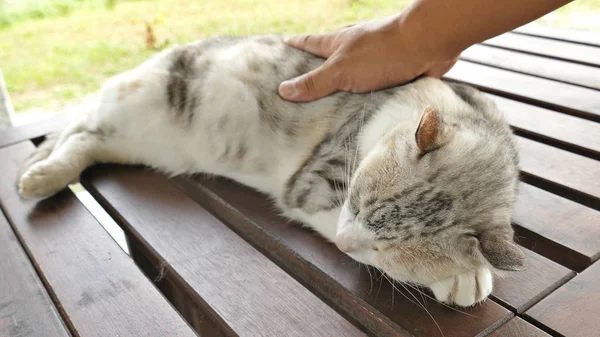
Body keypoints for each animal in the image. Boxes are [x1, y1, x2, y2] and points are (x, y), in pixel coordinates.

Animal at [17, 34, 524, 308]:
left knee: (86, 140)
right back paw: (37, 174)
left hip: (137, 142)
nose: (344, 244)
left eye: (387, 249)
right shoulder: (315, 184)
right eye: (357, 200)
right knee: (74, 130)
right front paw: (460, 275)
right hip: (132, 101)